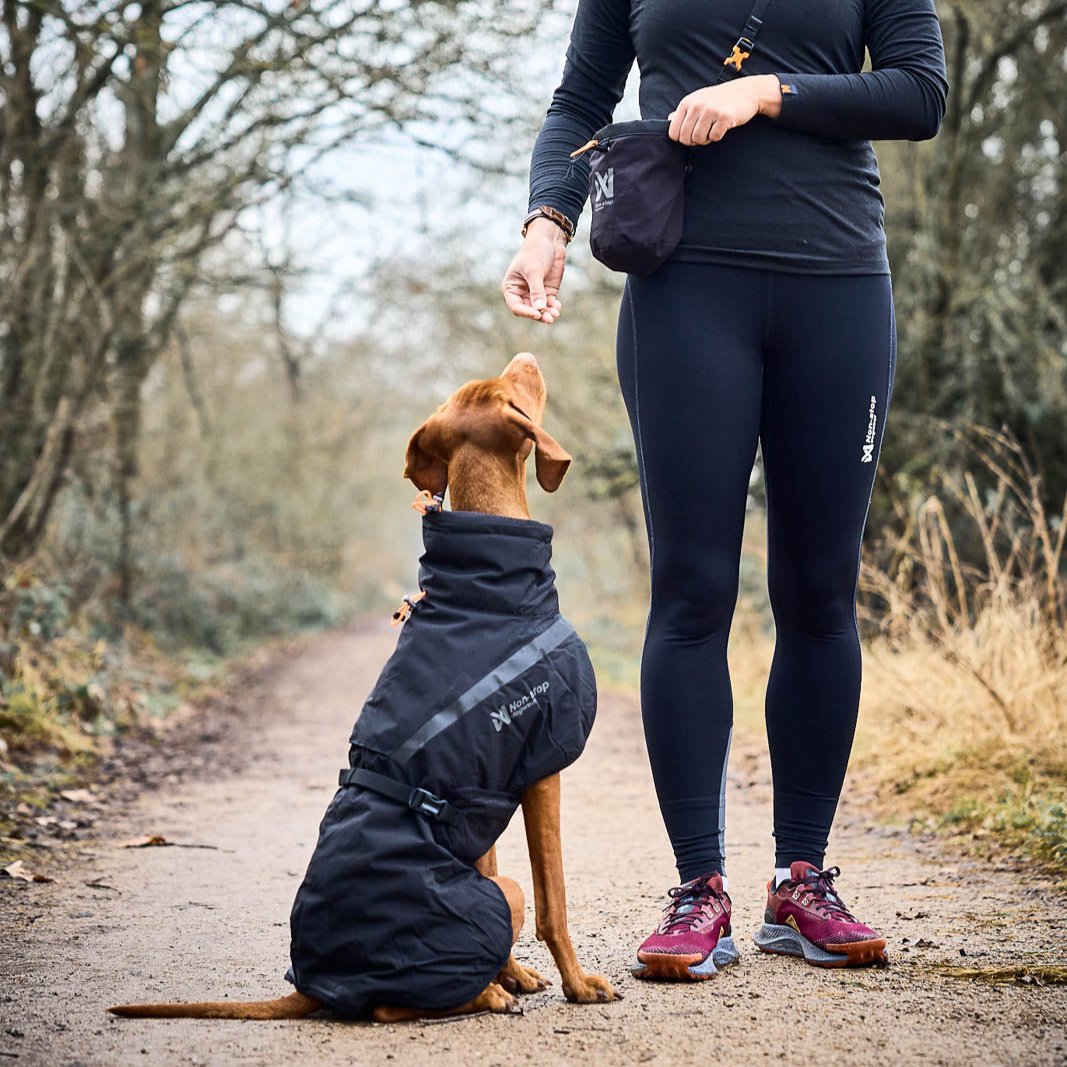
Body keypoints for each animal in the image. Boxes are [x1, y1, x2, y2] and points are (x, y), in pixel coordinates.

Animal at [110, 352, 618, 1024]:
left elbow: (490, 862)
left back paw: (492, 983)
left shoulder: (482, 795)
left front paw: (516, 974)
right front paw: (577, 984)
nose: (529, 355)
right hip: (498, 895)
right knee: (388, 1006)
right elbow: (554, 898)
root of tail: (311, 985)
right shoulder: (543, 770)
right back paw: (484, 993)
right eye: (510, 387)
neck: (488, 584)